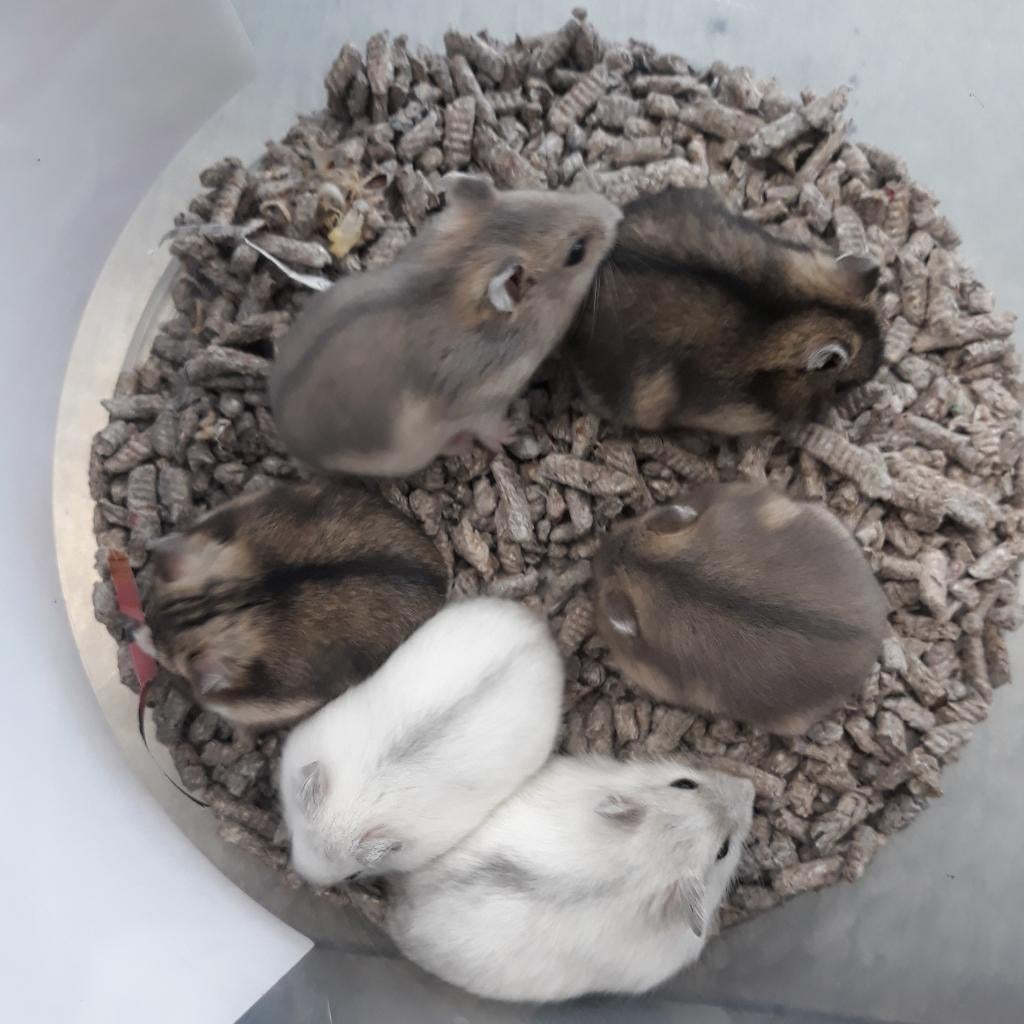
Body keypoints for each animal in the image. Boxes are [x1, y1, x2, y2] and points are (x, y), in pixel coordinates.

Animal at [269, 173, 621, 477]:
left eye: (549, 193)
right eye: (577, 251)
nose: (617, 215)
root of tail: (285, 437)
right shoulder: (478, 404)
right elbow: (487, 426)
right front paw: (512, 433)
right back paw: (461, 444)